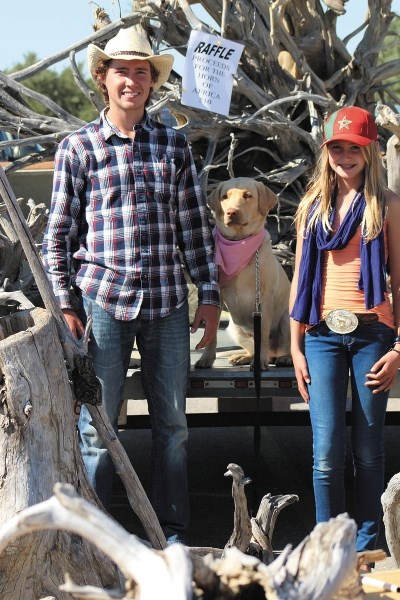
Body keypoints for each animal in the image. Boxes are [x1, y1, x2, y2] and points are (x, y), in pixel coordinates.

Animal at [196, 176, 290, 368]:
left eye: (247, 196)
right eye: (225, 196)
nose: (231, 212)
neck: (239, 242)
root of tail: (274, 353)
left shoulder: (264, 298)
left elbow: (262, 333)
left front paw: (259, 363)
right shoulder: (216, 293)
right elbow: (212, 332)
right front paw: (206, 358)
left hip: (287, 319)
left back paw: (284, 358)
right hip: (234, 327)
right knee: (255, 349)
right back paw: (243, 357)